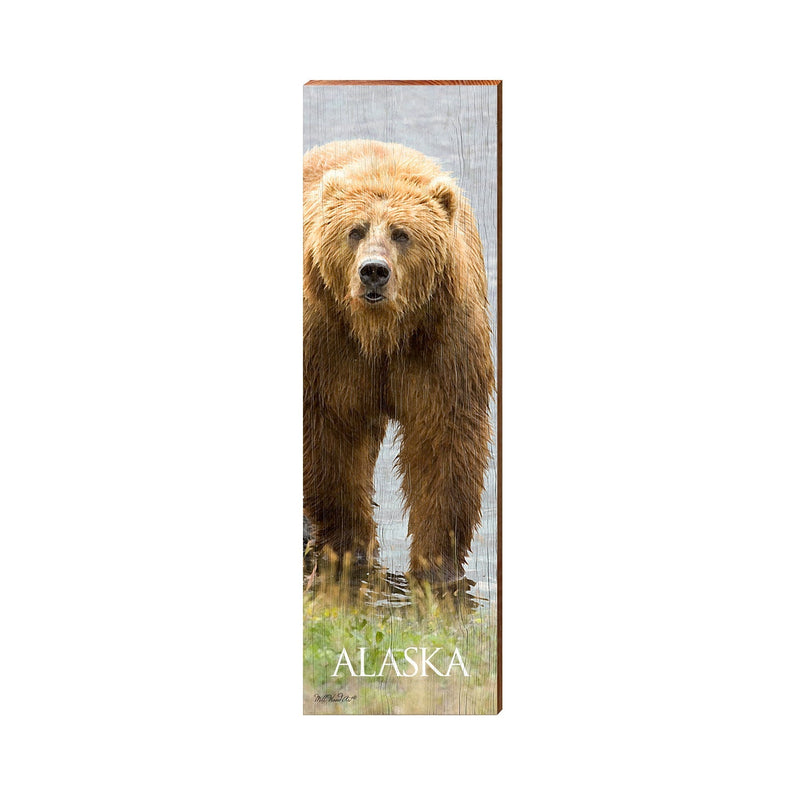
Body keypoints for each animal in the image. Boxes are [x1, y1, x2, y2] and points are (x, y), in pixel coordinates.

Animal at [303, 140, 494, 584]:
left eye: (401, 233)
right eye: (355, 230)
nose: (374, 271)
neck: (382, 333)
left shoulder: (442, 341)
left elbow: (444, 444)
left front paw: (437, 565)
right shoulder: (328, 342)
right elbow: (330, 440)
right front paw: (348, 543)